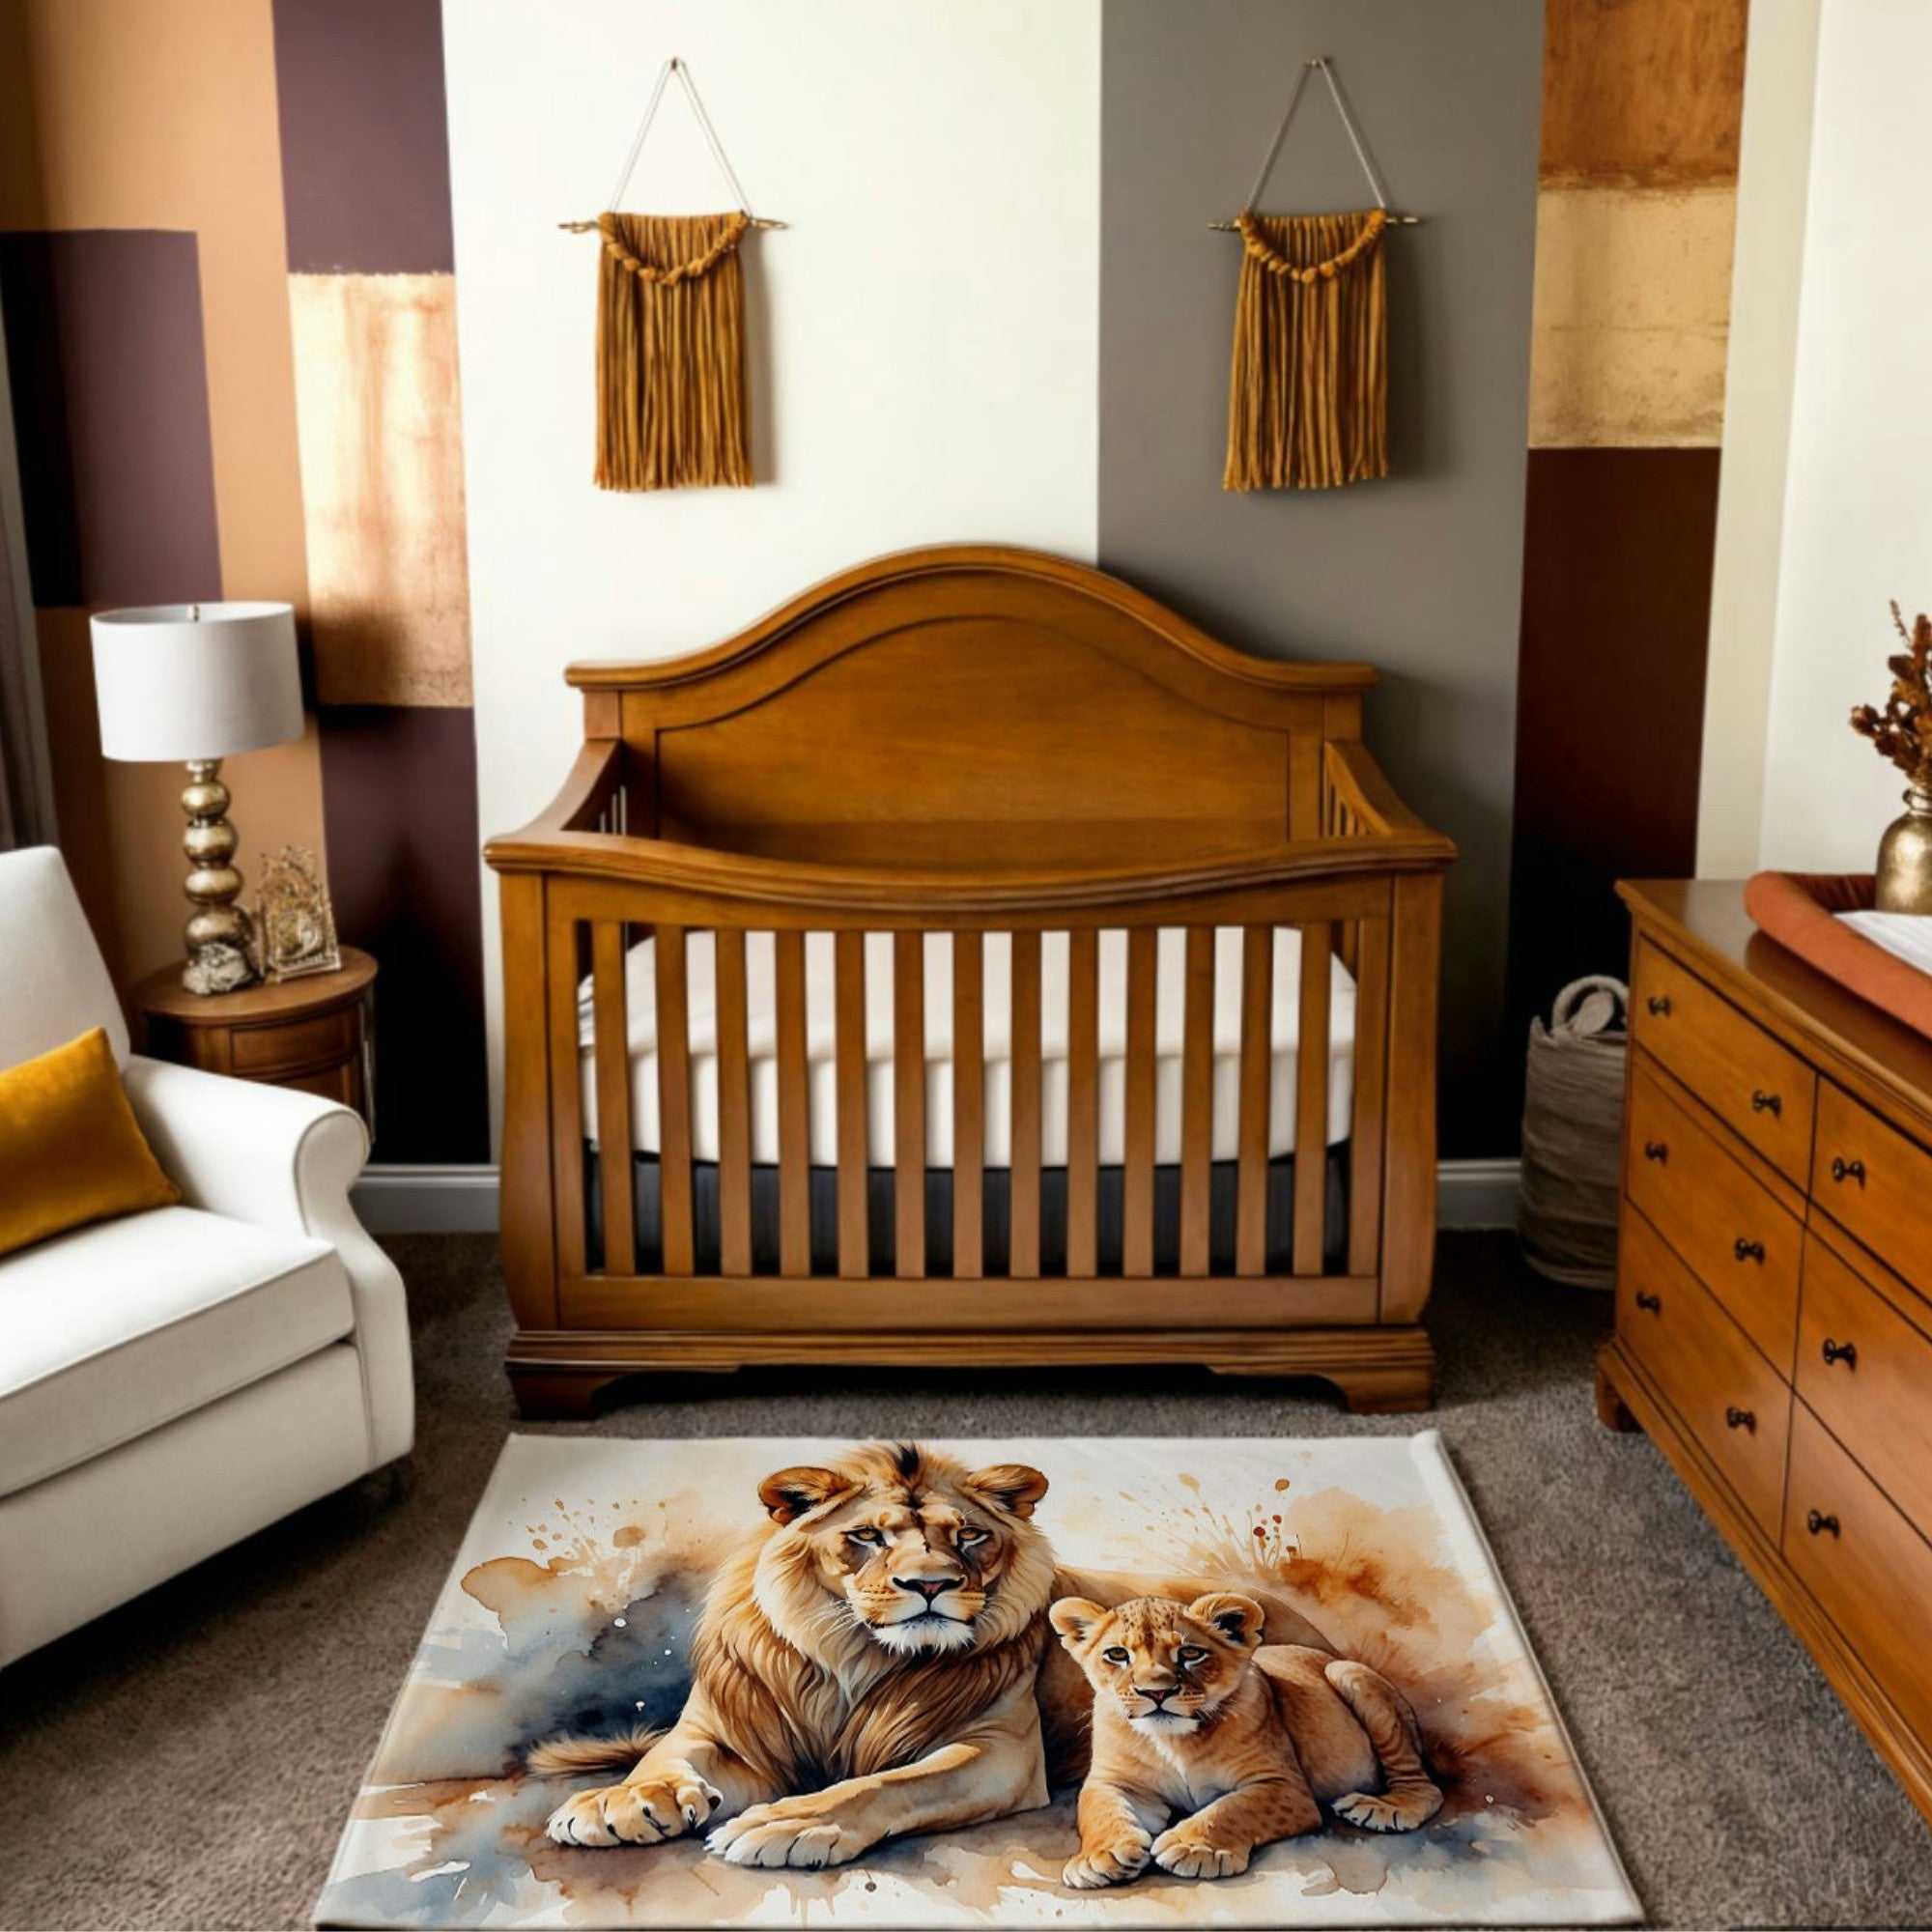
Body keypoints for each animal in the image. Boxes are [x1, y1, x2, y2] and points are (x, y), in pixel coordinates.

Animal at [533, 1437, 1345, 1870]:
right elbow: (668, 1752)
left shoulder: (1001, 1753)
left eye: (970, 1536)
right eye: (867, 1536)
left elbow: (882, 1786)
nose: (931, 1585)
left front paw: (785, 1825)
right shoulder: (724, 1730)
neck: (859, 1664)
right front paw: (619, 1801)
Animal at [1051, 1592, 1445, 1893]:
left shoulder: (1285, 1787)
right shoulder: (1116, 1782)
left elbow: (1231, 1809)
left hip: (1348, 1673)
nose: (1157, 1692)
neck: (1172, 1739)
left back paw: (1382, 1808)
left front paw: (1191, 1846)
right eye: (1117, 1654)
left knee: (1425, 1787)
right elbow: (1099, 1811)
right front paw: (1098, 1858)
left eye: (1190, 1653)